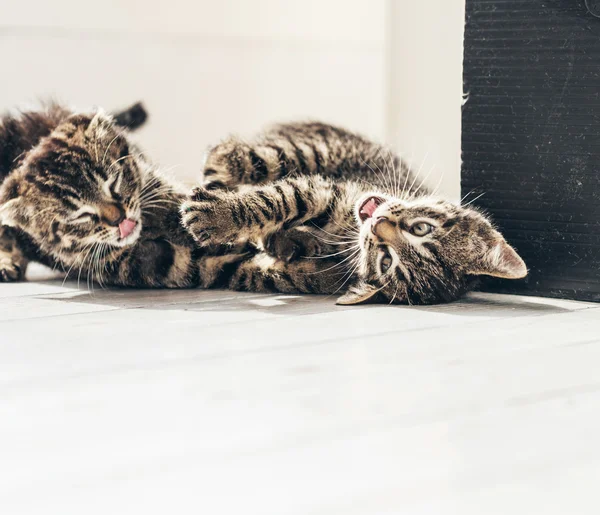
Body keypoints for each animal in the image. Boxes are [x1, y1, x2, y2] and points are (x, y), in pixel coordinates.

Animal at [182, 122, 524, 304]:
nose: (379, 223)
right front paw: (218, 216)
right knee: (231, 154)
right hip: (312, 150)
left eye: (386, 261)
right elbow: (280, 200)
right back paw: (221, 170)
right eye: (421, 228)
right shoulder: (329, 192)